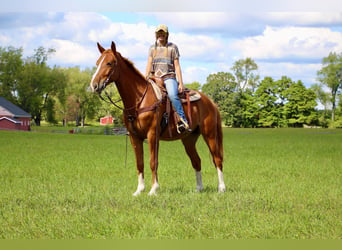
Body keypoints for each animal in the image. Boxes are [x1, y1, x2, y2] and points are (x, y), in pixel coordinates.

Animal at [89, 42, 226, 196]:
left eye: (109, 63)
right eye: (97, 63)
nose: (94, 85)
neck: (139, 99)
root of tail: (210, 102)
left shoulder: (152, 135)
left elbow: (153, 162)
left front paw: (153, 190)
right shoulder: (134, 137)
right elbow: (140, 163)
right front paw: (139, 190)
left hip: (210, 134)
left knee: (217, 159)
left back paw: (221, 188)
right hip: (189, 139)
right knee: (196, 161)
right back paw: (199, 188)